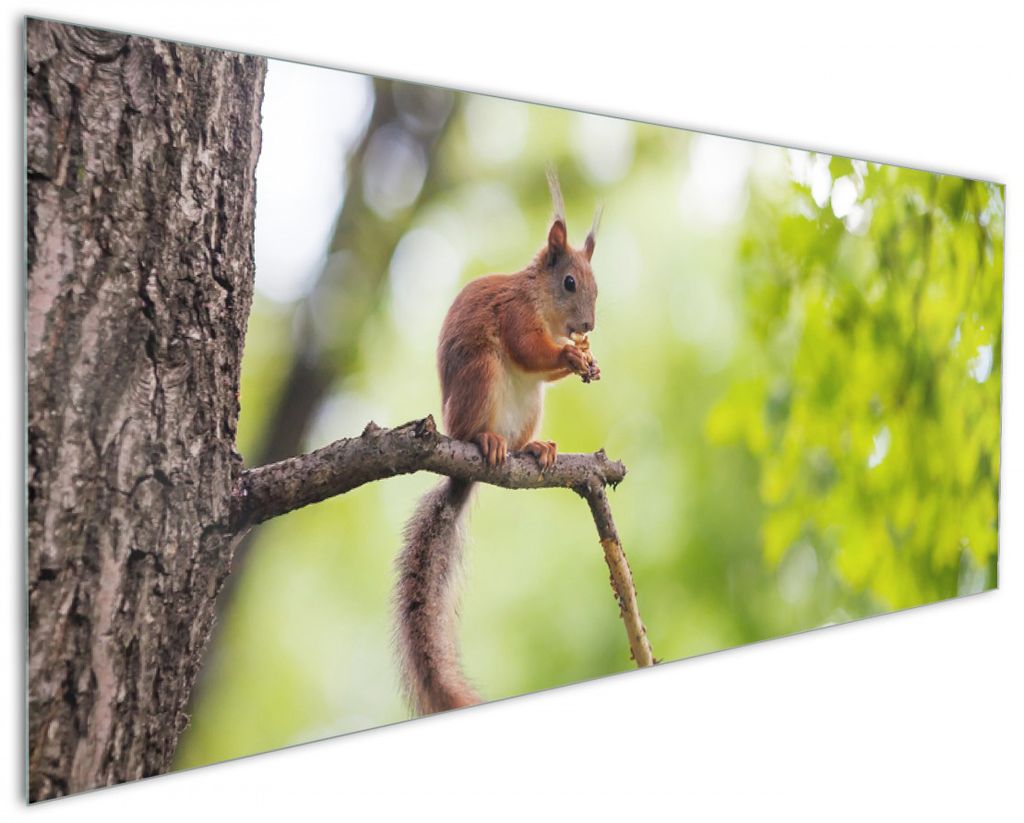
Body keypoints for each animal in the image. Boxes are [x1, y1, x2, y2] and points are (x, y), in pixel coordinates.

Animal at [394, 169, 602, 715]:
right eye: (569, 283)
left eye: (597, 286)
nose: (588, 327)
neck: (541, 302)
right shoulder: (513, 314)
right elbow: (529, 349)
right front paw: (572, 356)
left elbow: (543, 366)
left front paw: (584, 359)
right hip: (481, 376)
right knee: (476, 425)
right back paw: (486, 441)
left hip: (530, 407)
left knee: (524, 430)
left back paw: (535, 449)